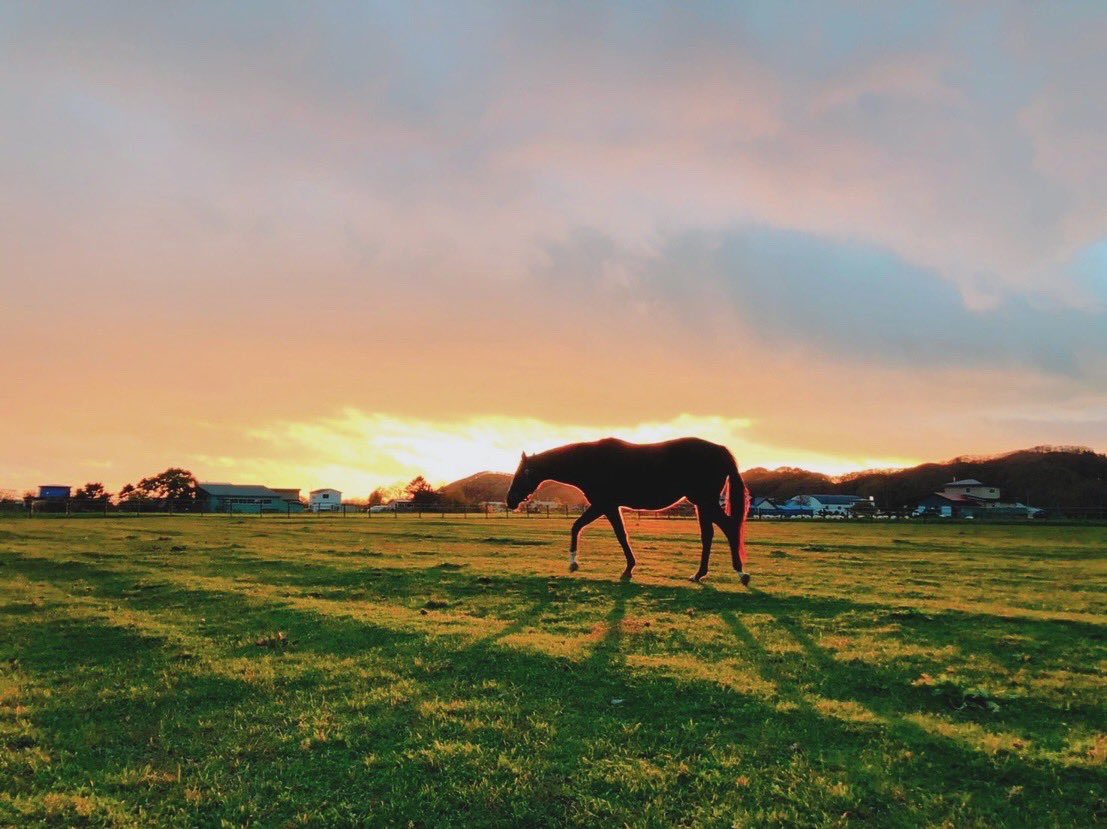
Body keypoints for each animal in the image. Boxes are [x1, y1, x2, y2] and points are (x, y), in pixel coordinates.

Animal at [505, 437, 751, 584]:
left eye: (523, 473)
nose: (510, 500)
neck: (590, 462)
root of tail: (720, 450)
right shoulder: (610, 506)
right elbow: (620, 534)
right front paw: (629, 567)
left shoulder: (603, 504)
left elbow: (579, 527)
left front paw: (574, 563)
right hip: (702, 503)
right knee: (708, 535)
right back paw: (699, 574)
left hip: (706, 501)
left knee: (729, 528)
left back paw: (740, 573)